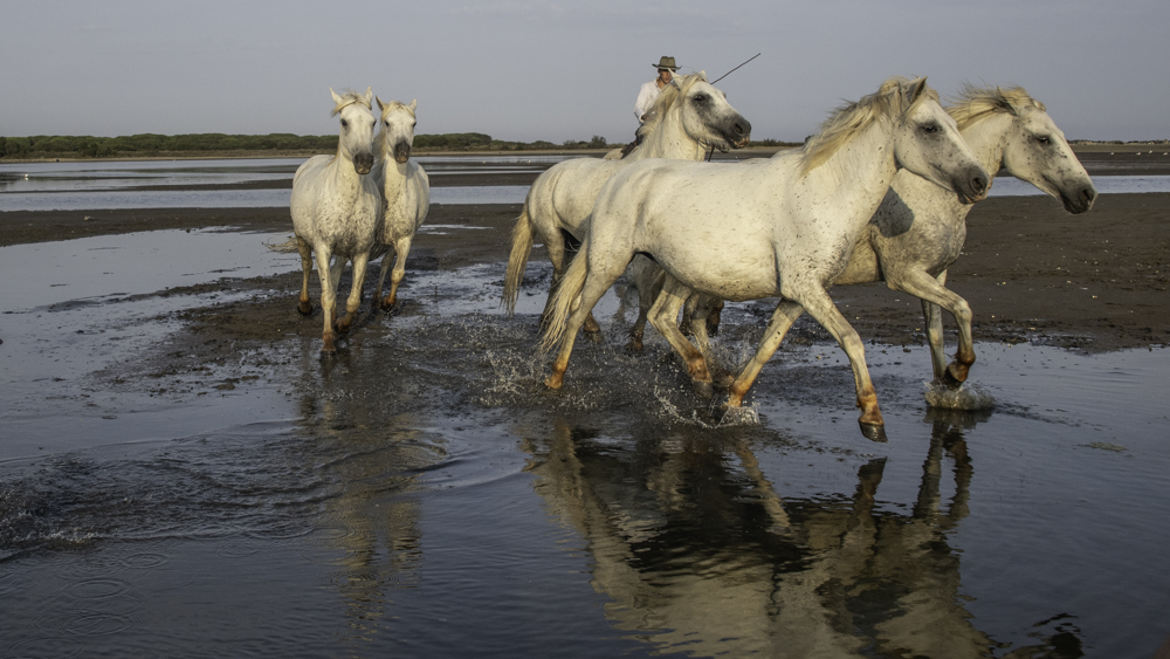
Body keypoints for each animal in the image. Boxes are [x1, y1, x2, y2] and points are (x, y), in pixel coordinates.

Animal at [292, 89, 379, 355]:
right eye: (344, 122)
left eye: (373, 122)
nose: (364, 161)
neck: (347, 197)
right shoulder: (322, 247)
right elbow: (328, 295)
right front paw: (328, 341)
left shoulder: (361, 251)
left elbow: (351, 300)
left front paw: (342, 325)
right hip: (302, 239)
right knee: (307, 268)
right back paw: (305, 305)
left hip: (342, 252)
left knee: (336, 274)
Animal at [369, 98, 430, 311]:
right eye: (387, 123)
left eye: (414, 123)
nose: (402, 152)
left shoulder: (404, 240)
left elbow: (396, 273)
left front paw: (389, 303)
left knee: (386, 264)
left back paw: (378, 298)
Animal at [503, 72, 748, 316]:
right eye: (700, 98)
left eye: (723, 95)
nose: (744, 128)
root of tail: (542, 179)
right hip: (553, 236)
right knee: (559, 277)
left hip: (572, 240)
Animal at [538, 78, 987, 437]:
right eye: (930, 127)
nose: (979, 180)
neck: (825, 192)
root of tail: (621, 178)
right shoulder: (808, 290)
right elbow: (852, 340)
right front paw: (872, 417)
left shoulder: (797, 296)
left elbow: (768, 347)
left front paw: (730, 401)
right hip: (608, 263)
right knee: (577, 313)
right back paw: (554, 381)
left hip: (681, 274)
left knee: (661, 316)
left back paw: (703, 377)